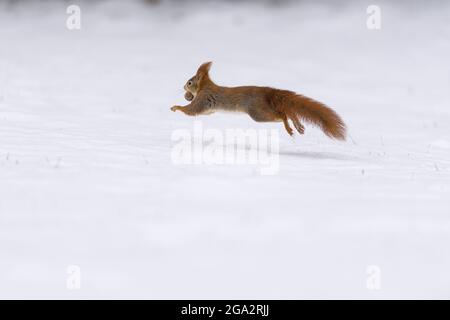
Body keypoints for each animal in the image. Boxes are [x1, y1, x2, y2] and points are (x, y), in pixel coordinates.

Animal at [171, 62, 346, 139]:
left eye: (189, 82)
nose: (183, 87)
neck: (205, 87)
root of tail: (267, 92)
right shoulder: (209, 109)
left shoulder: (203, 99)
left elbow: (191, 110)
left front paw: (176, 107)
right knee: (287, 112)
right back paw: (297, 125)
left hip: (258, 113)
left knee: (282, 114)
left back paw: (290, 127)